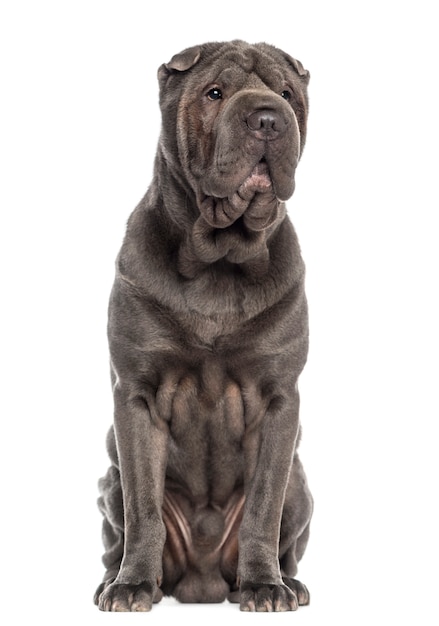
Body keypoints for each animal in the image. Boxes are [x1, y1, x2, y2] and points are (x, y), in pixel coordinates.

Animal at [93, 41, 312, 612]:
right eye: (215, 93)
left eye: (287, 94)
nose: (267, 118)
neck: (221, 257)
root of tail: (203, 580)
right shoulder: (138, 397)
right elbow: (144, 509)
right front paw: (131, 586)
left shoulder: (279, 400)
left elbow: (262, 506)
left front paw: (264, 586)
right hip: (109, 481)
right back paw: (114, 581)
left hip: (301, 487)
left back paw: (291, 584)